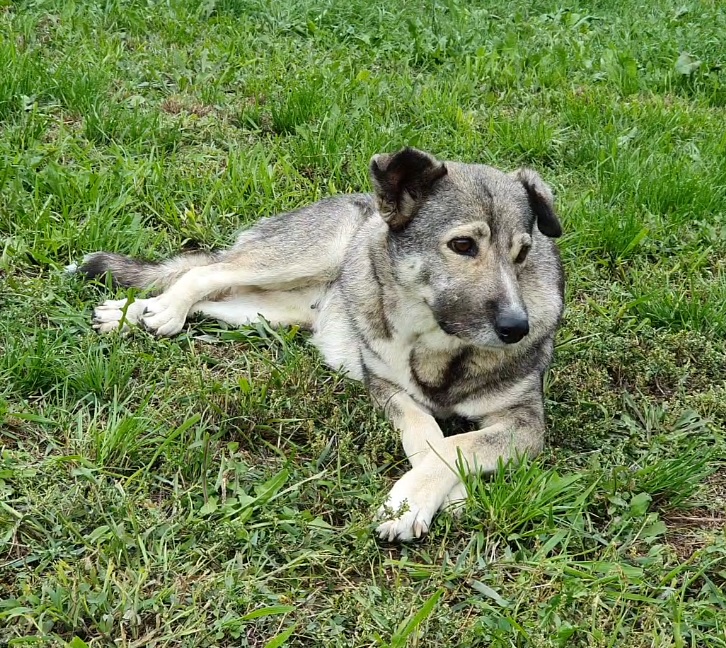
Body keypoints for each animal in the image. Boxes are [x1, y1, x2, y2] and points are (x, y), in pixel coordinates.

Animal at [71, 148, 564, 540]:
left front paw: (442, 492)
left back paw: (135, 313)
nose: (516, 328)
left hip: (269, 309)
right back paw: (153, 312)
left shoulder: (524, 422)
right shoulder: (388, 390)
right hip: (297, 257)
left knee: (215, 296)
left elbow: (456, 445)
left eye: (522, 254)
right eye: (462, 245)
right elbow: (429, 434)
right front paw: (413, 500)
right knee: (206, 272)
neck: (439, 345)